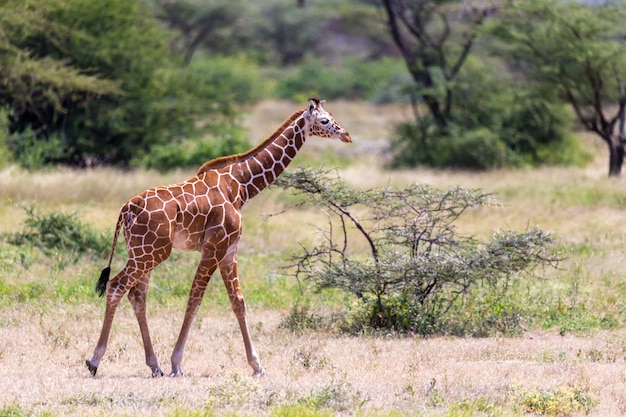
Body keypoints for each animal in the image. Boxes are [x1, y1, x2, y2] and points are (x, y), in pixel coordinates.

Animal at [84, 98, 352, 376]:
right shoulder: (214, 247)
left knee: (137, 296)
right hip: (153, 252)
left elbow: (238, 302)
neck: (241, 185)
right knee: (116, 286)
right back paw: (95, 360)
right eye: (324, 120)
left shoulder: (229, 250)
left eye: (332, 117)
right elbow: (195, 300)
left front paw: (256, 365)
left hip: (141, 251)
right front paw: (177, 363)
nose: (346, 135)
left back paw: (154, 365)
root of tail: (127, 208)